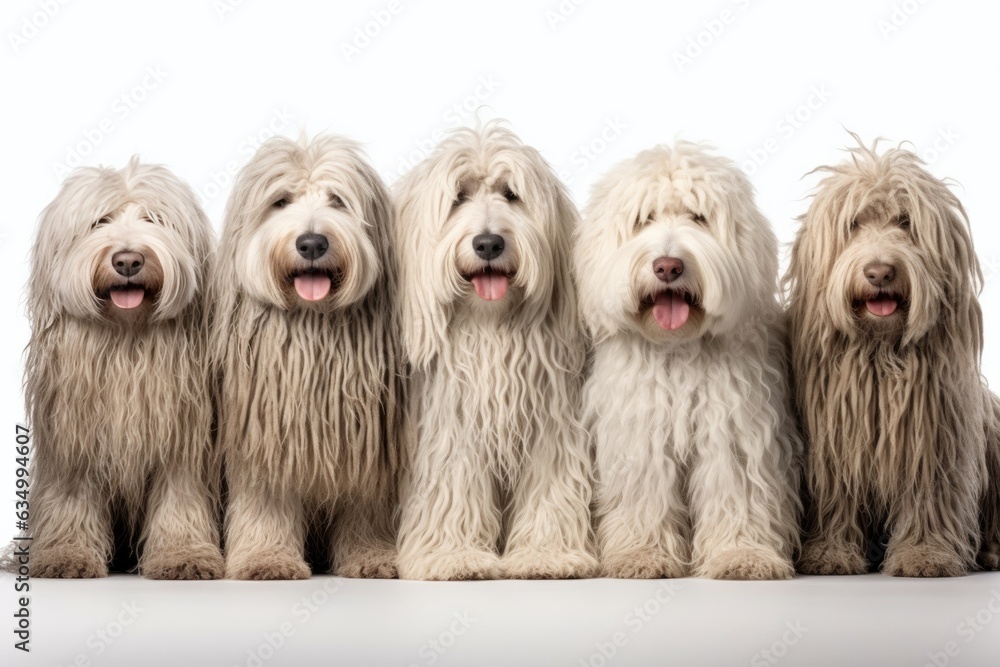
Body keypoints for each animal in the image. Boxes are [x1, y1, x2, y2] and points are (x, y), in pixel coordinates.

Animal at [24, 158, 224, 580]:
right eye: (99, 221)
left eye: (154, 219)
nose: (128, 260)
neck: (127, 339)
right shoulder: (74, 439)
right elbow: (71, 497)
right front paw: (66, 553)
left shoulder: (181, 438)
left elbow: (180, 496)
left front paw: (183, 554)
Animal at [213, 136, 400, 580]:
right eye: (280, 201)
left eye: (338, 200)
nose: (312, 243)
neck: (313, 326)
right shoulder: (264, 438)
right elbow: (267, 502)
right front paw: (266, 558)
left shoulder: (366, 445)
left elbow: (366, 507)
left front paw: (372, 556)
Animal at [390, 124, 592, 580]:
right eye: (458, 197)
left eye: (511, 194)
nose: (488, 244)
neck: (490, 326)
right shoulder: (452, 427)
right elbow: (454, 488)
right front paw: (456, 555)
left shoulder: (551, 425)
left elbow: (549, 486)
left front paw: (546, 555)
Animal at [576, 142, 800, 580]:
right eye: (643, 219)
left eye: (699, 217)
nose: (668, 266)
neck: (677, 347)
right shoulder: (642, 436)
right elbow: (645, 496)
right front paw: (643, 554)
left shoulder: (732, 433)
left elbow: (736, 492)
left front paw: (742, 554)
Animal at [788, 138, 1000, 576]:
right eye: (854, 224)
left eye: (905, 222)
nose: (880, 272)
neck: (880, 352)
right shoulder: (835, 440)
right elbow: (836, 495)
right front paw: (830, 552)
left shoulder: (933, 435)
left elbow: (929, 495)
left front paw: (925, 553)